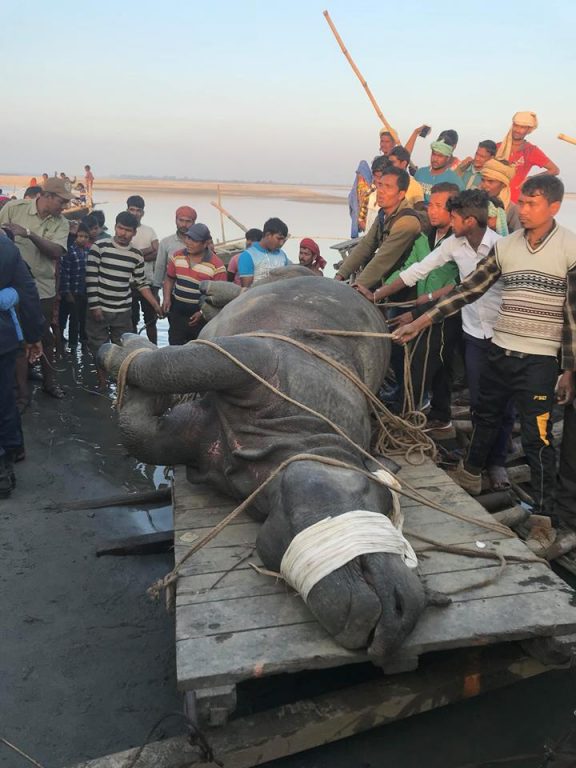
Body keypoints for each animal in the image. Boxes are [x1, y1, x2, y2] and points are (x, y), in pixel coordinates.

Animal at [99, 268, 426, 662]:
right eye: (373, 491)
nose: (402, 611)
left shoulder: (193, 437)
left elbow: (141, 428)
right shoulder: (254, 358)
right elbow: (164, 369)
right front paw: (123, 349)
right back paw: (208, 293)